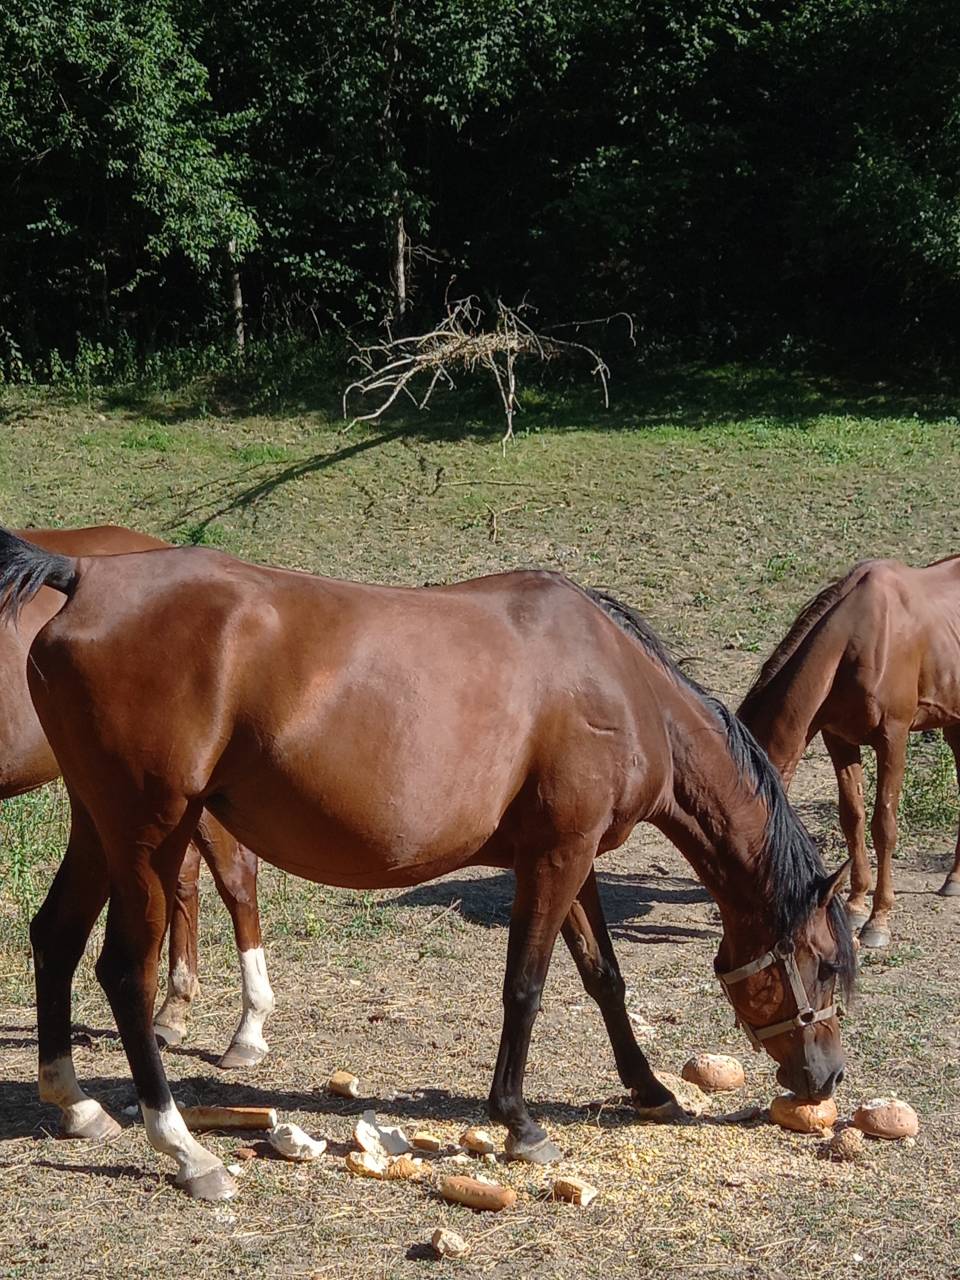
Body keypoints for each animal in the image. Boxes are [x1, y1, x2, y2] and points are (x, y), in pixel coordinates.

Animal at [739, 554, 960, 949]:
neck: (861, 639)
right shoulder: (839, 739)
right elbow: (852, 817)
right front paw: (857, 904)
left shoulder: (893, 737)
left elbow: (883, 825)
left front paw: (878, 920)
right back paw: (953, 879)